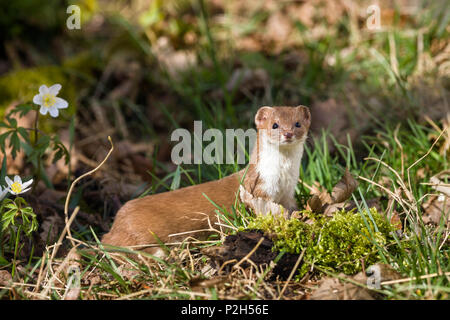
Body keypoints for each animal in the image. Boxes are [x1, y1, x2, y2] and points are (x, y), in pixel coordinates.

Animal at [101, 106, 310, 254]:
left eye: (298, 124)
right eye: (274, 124)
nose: (288, 133)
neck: (282, 179)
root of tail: (116, 223)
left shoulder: (289, 194)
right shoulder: (258, 188)